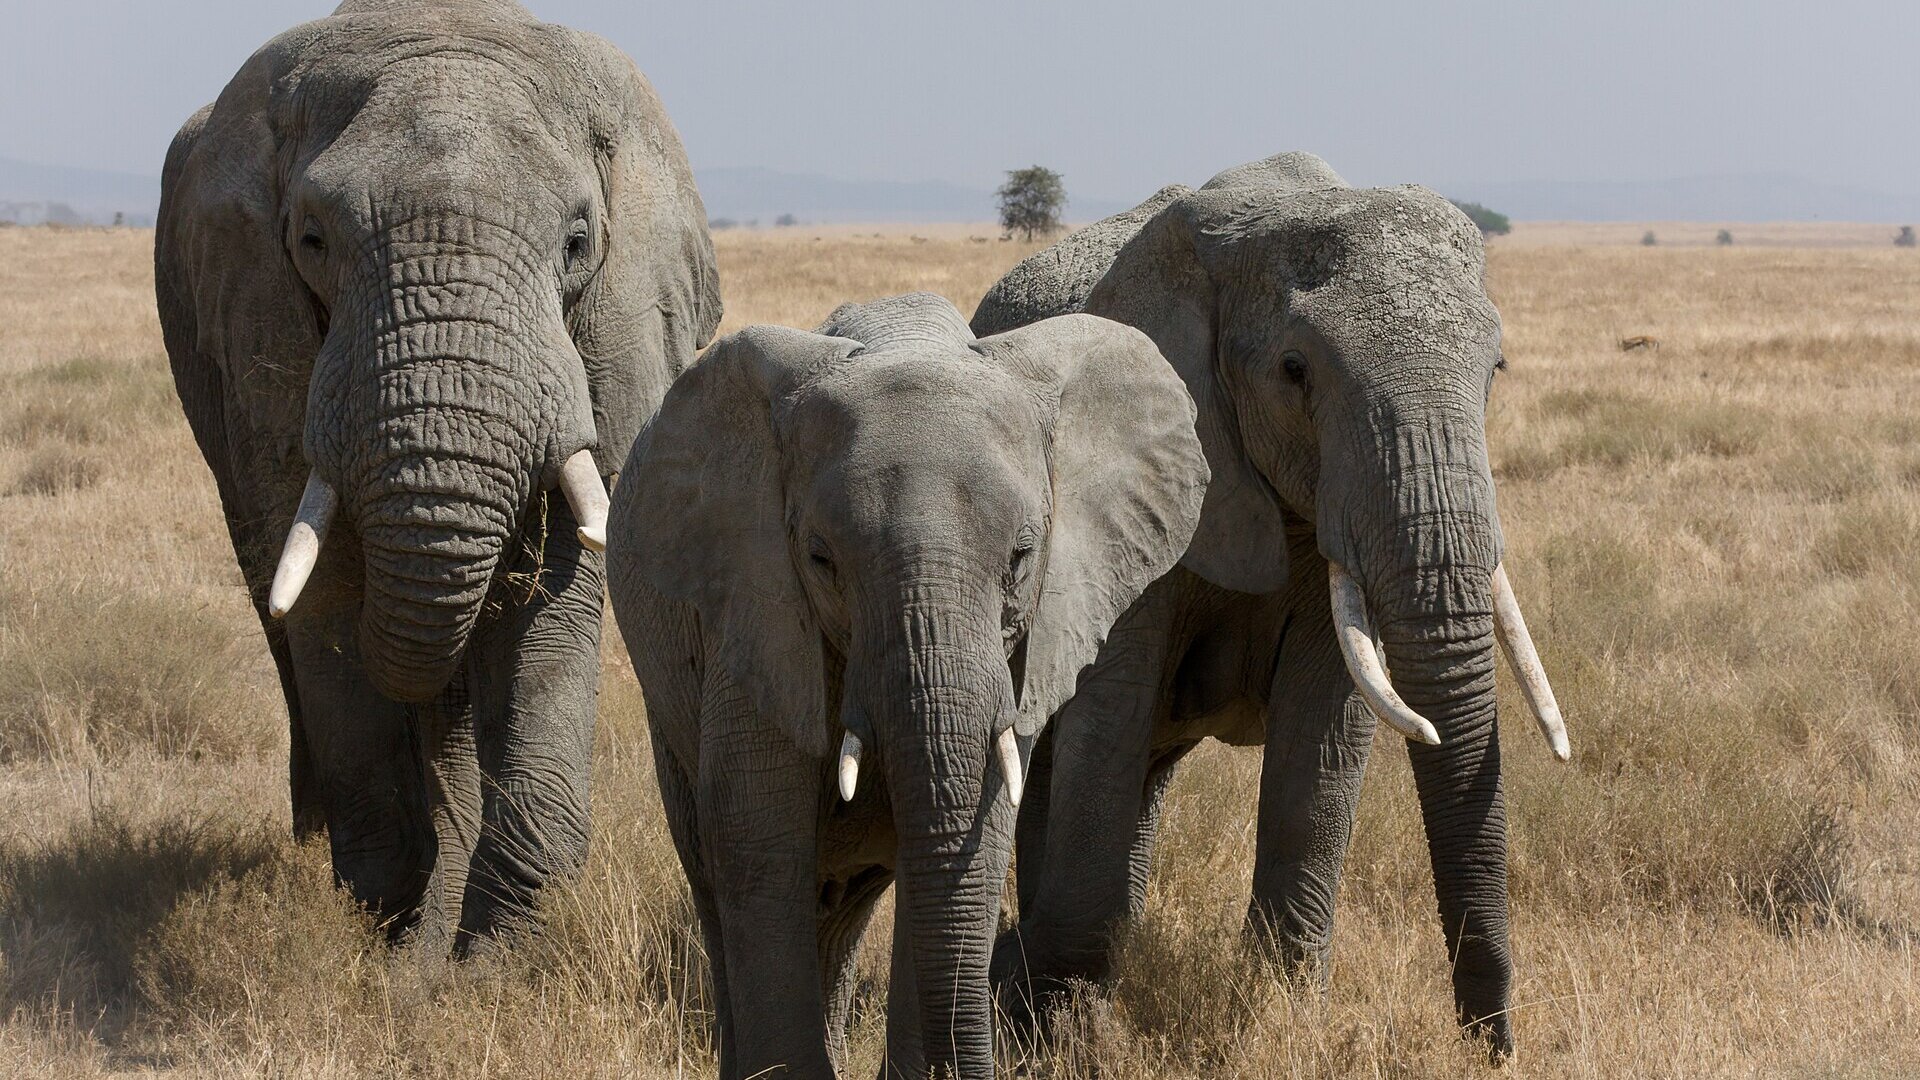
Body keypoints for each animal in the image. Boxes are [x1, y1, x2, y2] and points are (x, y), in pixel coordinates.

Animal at [154, 0, 720, 947]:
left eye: (578, 242)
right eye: (311, 240)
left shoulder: (612, 336)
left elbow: (558, 586)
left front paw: (500, 950)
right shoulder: (261, 332)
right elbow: (324, 588)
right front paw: (387, 925)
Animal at [607, 293, 1207, 1078]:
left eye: (1021, 558)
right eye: (821, 560)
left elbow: (976, 841)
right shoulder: (753, 604)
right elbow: (755, 838)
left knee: (843, 902)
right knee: (717, 869)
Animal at [971, 153, 1569, 1056]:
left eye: (1495, 370)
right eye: (1295, 372)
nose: (1493, 1047)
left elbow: (1322, 742)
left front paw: (1276, 1013)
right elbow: (1108, 720)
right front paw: (1055, 1032)